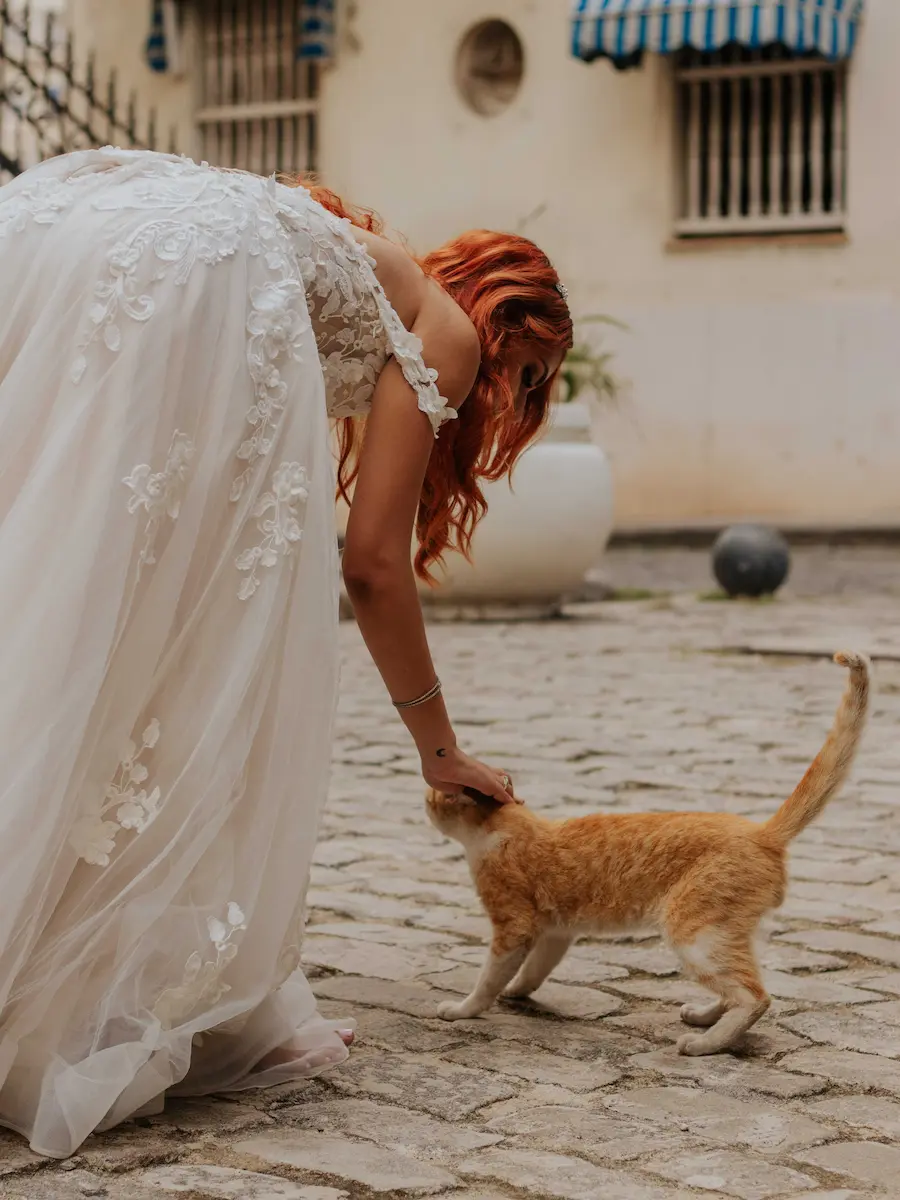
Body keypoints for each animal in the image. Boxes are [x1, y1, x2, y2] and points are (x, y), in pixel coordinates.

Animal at [427, 652, 868, 1056]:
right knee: (741, 984)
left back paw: (705, 1043)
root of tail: (762, 832)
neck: (509, 825)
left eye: (434, 795)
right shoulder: (556, 931)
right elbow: (534, 969)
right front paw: (518, 991)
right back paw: (706, 1016)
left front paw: (464, 1009)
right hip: (726, 933)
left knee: (753, 995)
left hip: (693, 932)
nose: (425, 799)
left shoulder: (513, 926)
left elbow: (488, 978)